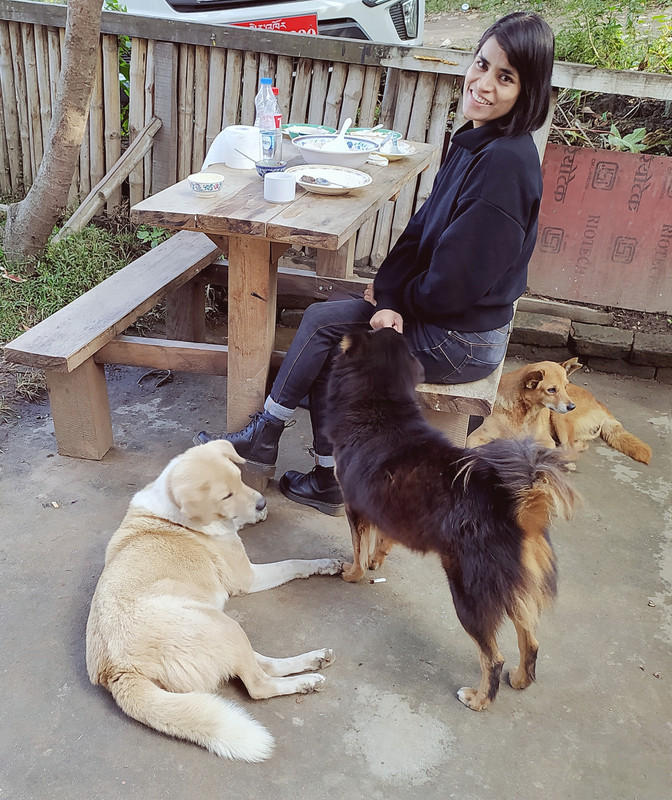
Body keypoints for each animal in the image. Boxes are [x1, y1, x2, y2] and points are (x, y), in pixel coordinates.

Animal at [84, 440, 344, 760]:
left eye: (240, 477)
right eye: (225, 495)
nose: (262, 503)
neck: (172, 511)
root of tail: (117, 671)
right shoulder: (249, 577)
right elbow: (293, 563)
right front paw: (322, 563)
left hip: (222, 630)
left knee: (262, 665)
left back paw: (315, 660)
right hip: (224, 626)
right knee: (257, 684)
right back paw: (305, 682)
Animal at [326, 330, 576, 712]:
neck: (381, 409)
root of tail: (516, 507)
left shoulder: (356, 507)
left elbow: (357, 548)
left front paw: (353, 573)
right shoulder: (385, 507)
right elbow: (383, 540)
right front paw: (375, 561)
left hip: (469, 593)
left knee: (493, 657)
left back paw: (479, 699)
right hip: (513, 589)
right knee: (530, 641)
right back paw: (520, 680)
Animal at [468, 356, 652, 462]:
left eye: (565, 386)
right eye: (551, 390)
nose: (572, 406)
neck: (524, 414)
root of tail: (600, 405)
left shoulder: (545, 440)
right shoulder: (474, 438)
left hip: (559, 418)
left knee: (568, 450)